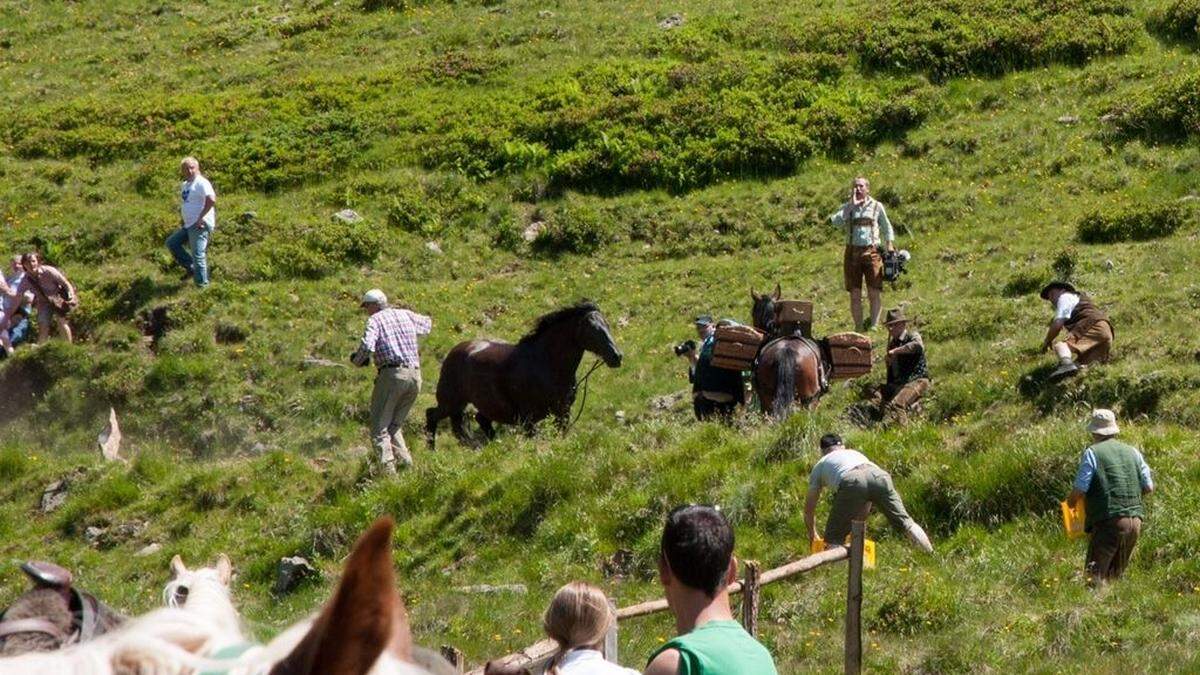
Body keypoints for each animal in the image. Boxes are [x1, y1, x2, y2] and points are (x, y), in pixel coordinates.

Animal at [427, 302, 624, 444]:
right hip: (451, 402)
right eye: (593, 329)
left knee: (480, 420)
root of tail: (455, 351)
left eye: (607, 325)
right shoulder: (528, 419)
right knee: (431, 415)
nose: (616, 356)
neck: (547, 365)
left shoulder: (562, 413)